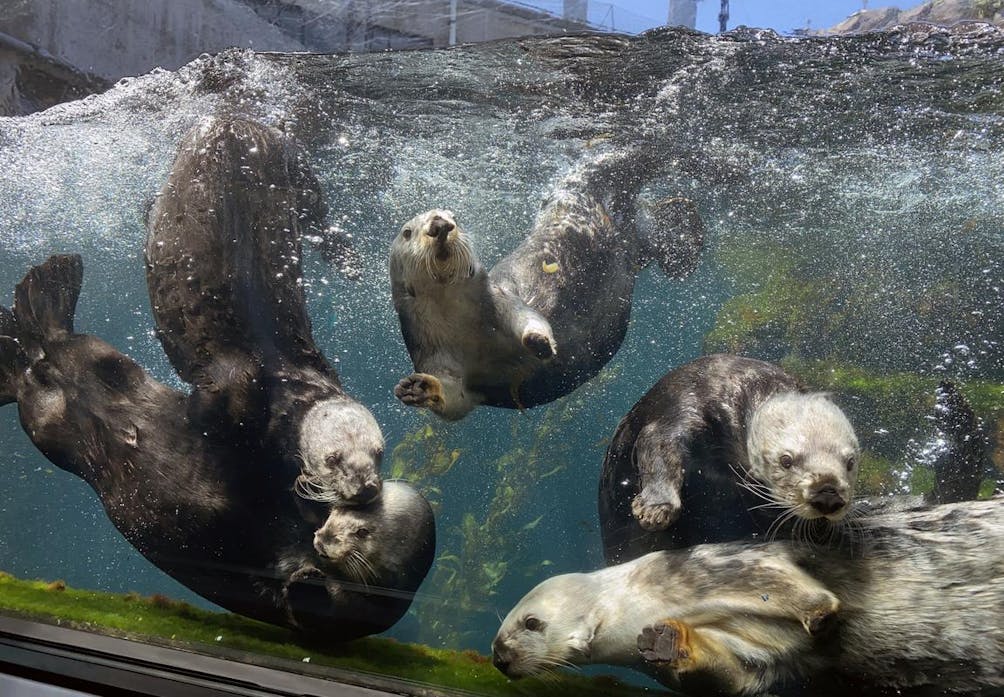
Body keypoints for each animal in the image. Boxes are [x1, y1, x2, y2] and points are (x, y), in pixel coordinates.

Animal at [146, 117, 381, 504]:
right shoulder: (238, 384)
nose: (367, 487)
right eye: (333, 459)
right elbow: (213, 404)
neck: (286, 383)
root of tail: (235, 118)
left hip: (297, 169)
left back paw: (348, 261)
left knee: (318, 215)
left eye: (379, 452)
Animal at [493, 500, 1003, 694]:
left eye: (530, 623)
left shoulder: (720, 568)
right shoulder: (751, 657)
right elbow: (736, 678)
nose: (498, 658)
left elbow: (788, 583)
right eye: (499, 636)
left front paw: (820, 613)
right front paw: (666, 643)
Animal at [598, 355, 859, 566]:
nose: (828, 494)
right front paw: (656, 508)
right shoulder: (683, 405)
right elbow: (658, 446)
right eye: (786, 460)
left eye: (850, 462)